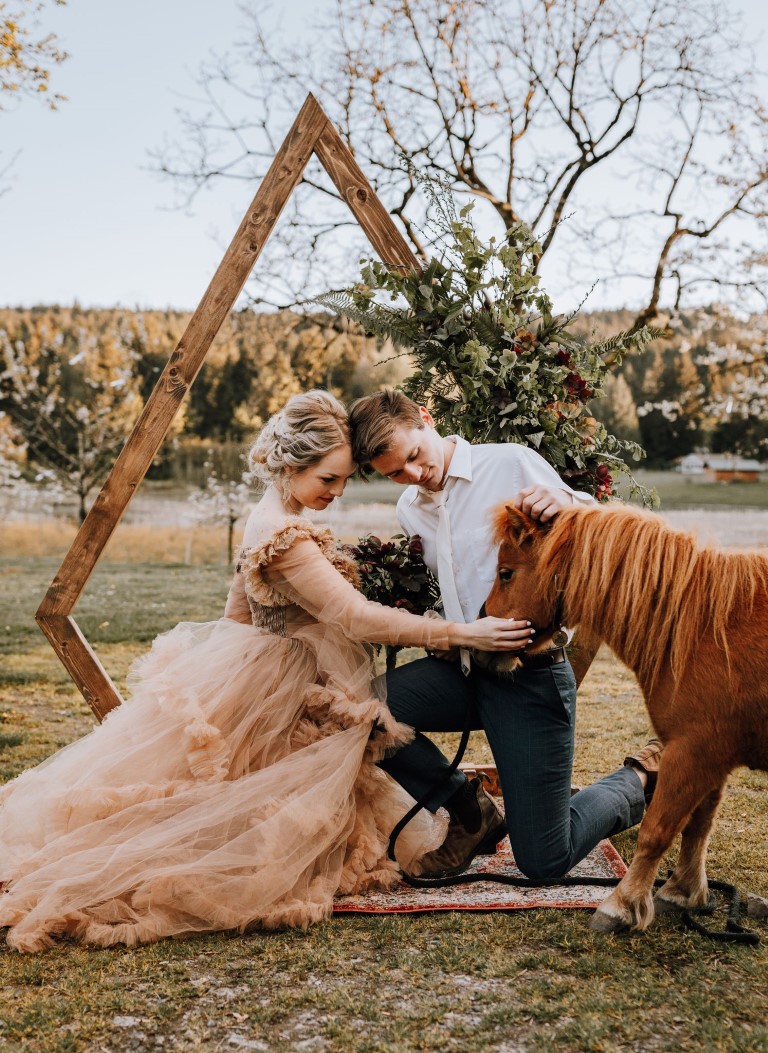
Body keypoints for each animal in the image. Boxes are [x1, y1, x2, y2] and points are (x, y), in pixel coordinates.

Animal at [484, 501, 766, 930]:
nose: (484, 640)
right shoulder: (714, 758)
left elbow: (658, 830)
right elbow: (698, 825)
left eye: (506, 573)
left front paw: (621, 905)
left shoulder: (693, 751)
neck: (704, 629)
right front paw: (683, 892)